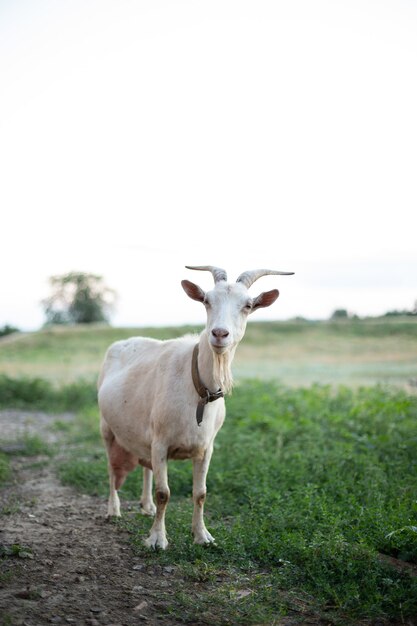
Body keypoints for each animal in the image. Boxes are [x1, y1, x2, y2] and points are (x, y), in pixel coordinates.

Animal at [97, 264, 292, 544]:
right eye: (207, 301)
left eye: (248, 305)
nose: (219, 333)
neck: (198, 388)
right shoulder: (160, 443)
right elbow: (164, 492)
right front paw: (157, 539)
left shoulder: (206, 447)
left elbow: (200, 493)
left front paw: (202, 536)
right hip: (107, 428)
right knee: (112, 469)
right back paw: (114, 510)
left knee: (145, 467)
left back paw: (146, 507)